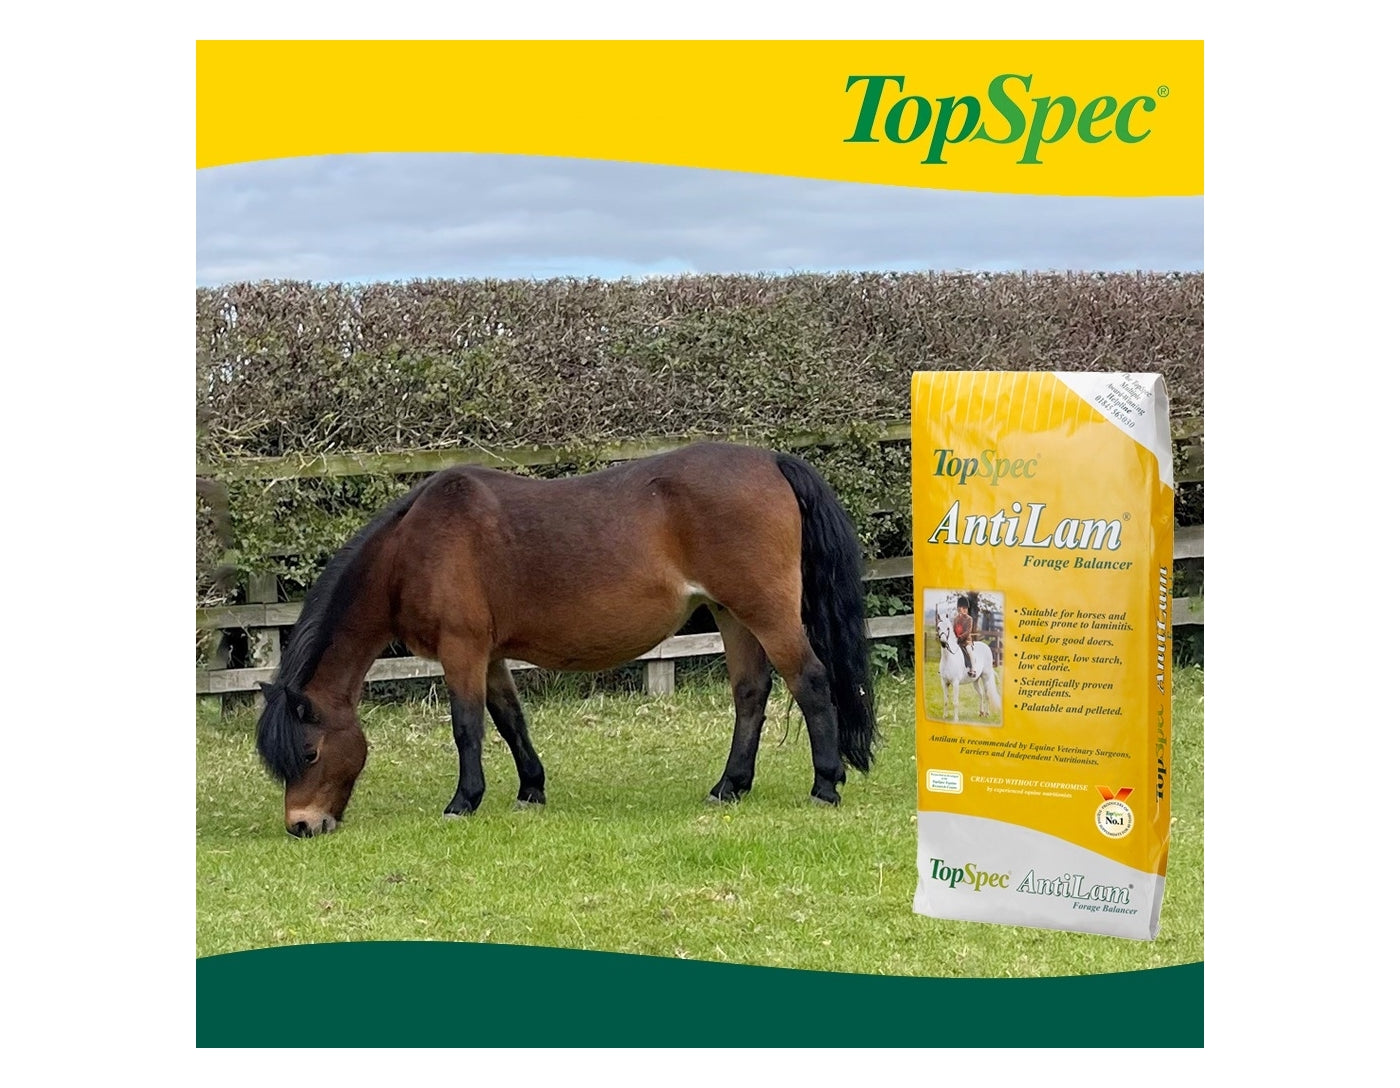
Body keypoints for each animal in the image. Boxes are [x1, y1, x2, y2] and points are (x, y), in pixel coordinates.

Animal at [255, 442, 879, 836]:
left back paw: (826, 784)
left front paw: (463, 801)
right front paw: (531, 789)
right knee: (751, 693)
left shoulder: (462, 649)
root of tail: (770, 459)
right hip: (731, 613)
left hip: (766, 612)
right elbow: (510, 720)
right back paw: (730, 786)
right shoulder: (489, 654)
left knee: (810, 681)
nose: (302, 826)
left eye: (309, 752)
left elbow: (466, 726)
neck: (412, 548)